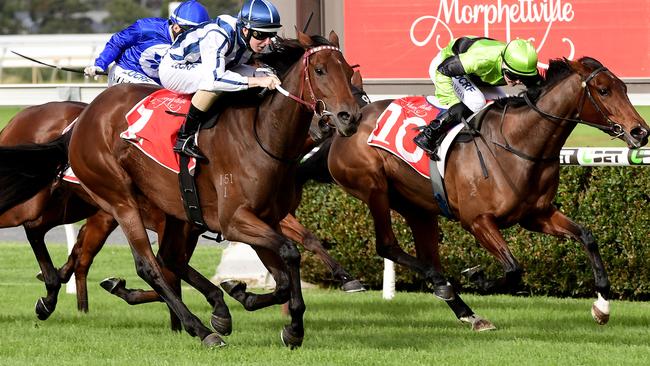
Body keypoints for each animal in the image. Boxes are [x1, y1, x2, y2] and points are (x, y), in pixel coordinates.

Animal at [0, 30, 364, 346]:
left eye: (349, 73)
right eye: (319, 70)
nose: (350, 117)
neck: (262, 136)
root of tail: (81, 121)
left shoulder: (264, 219)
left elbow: (289, 267)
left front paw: (262, 307)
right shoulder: (235, 220)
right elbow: (290, 252)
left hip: (111, 208)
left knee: (67, 241)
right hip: (116, 199)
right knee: (147, 264)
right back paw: (200, 329)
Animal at [332, 57, 644, 328]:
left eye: (624, 87)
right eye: (603, 90)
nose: (640, 131)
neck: (517, 144)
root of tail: (352, 119)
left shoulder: (537, 215)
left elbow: (587, 237)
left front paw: (602, 307)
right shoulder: (477, 221)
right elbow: (513, 269)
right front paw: (478, 277)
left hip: (417, 207)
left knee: (426, 255)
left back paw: (465, 311)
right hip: (375, 189)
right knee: (388, 245)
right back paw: (444, 287)